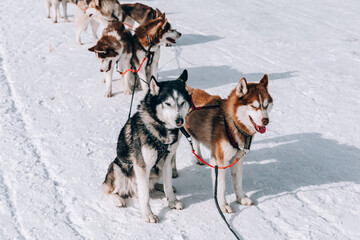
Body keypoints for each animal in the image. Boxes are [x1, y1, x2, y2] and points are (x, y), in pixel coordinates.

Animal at [101, 70, 191, 223]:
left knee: (154, 186)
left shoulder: (167, 161)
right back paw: (117, 199)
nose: (180, 120)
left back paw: (159, 188)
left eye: (182, 102)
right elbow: (144, 197)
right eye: (168, 103)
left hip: (157, 170)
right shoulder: (142, 167)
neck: (161, 129)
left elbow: (167, 184)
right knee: (109, 190)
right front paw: (148, 214)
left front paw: (172, 201)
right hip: (118, 168)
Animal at [186, 74, 272, 212]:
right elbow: (221, 186)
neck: (233, 123)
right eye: (254, 106)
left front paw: (241, 198)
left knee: (195, 140)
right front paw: (223, 205)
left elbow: (238, 182)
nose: (266, 120)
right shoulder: (219, 161)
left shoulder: (238, 159)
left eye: (266, 105)